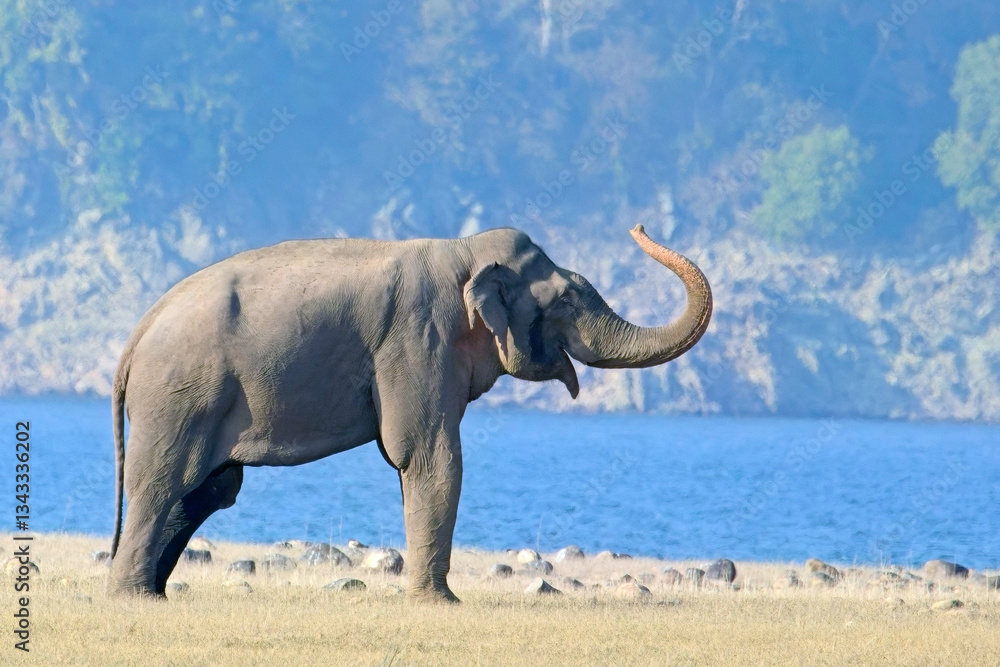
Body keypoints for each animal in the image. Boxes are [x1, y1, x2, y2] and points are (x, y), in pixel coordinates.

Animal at [108, 224, 712, 602]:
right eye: (564, 301)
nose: (638, 225)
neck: (464, 252)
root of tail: (135, 335)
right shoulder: (418, 340)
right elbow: (428, 456)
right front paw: (441, 603)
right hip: (181, 395)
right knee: (162, 482)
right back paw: (131, 596)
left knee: (208, 488)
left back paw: (153, 593)